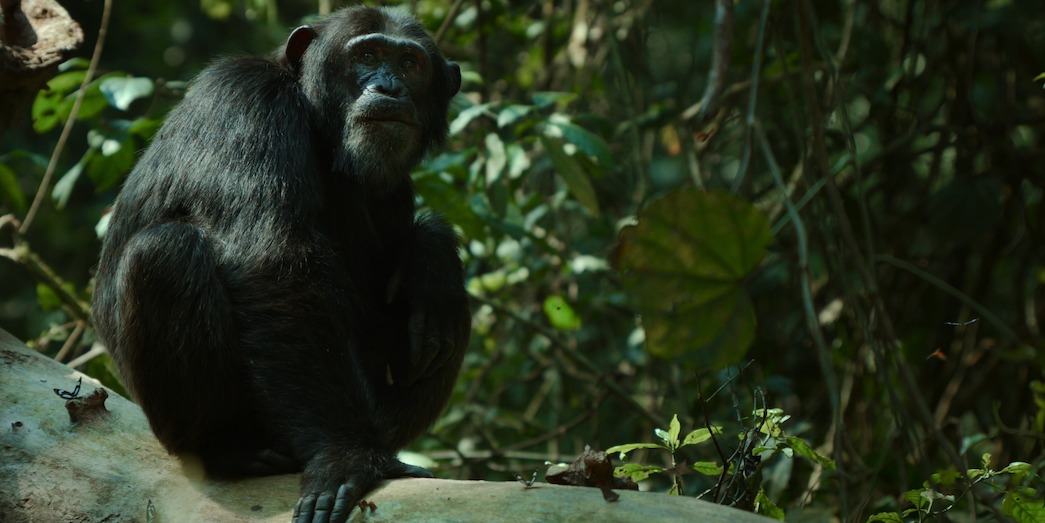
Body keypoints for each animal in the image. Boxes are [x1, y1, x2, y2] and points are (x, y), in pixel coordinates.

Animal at [94, 5, 470, 523]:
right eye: (367, 56)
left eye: (410, 64)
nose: (390, 86)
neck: (315, 119)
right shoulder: (247, 103)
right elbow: (275, 262)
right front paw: (346, 455)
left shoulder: (394, 188)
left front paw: (433, 267)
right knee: (166, 253)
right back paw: (229, 449)